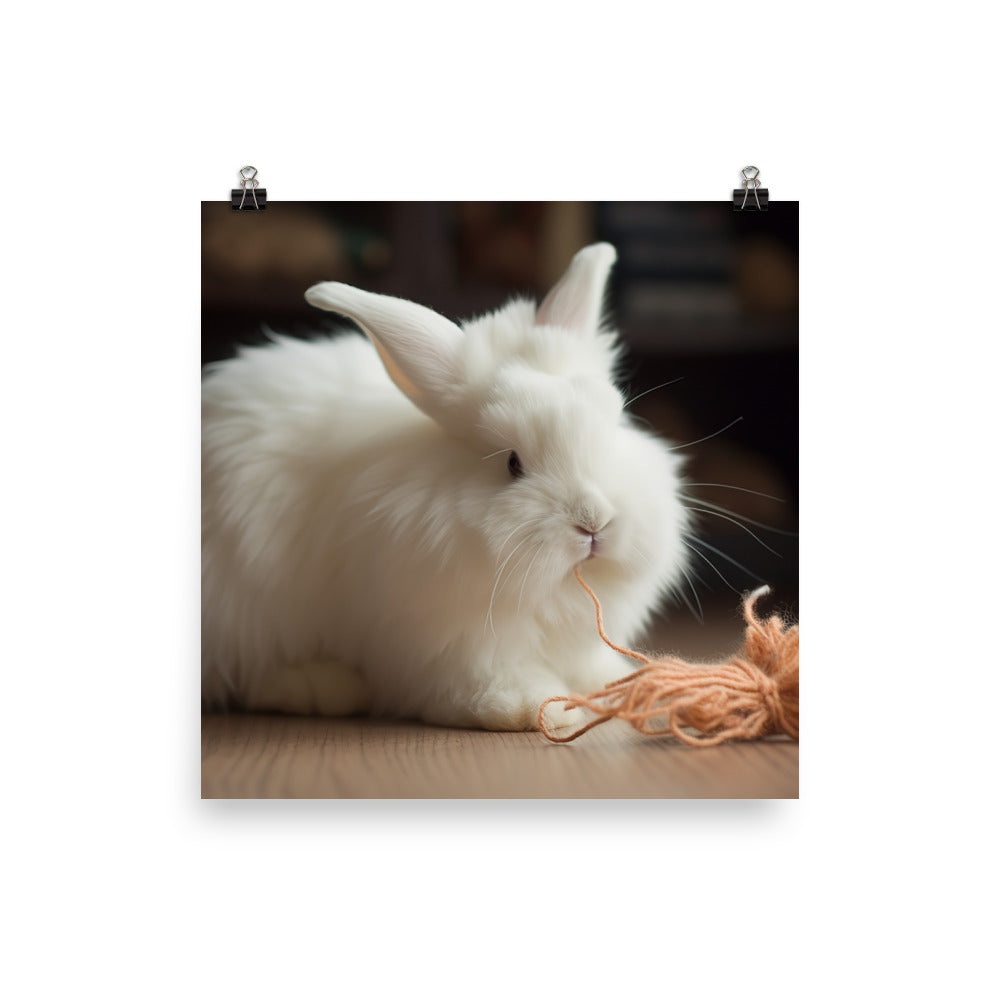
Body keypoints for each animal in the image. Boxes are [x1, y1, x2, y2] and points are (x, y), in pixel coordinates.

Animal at [202, 243, 691, 730]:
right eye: (512, 463)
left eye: (614, 428)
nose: (594, 522)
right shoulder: (449, 643)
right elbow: (480, 686)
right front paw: (539, 707)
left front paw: (632, 687)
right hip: (240, 608)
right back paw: (322, 687)